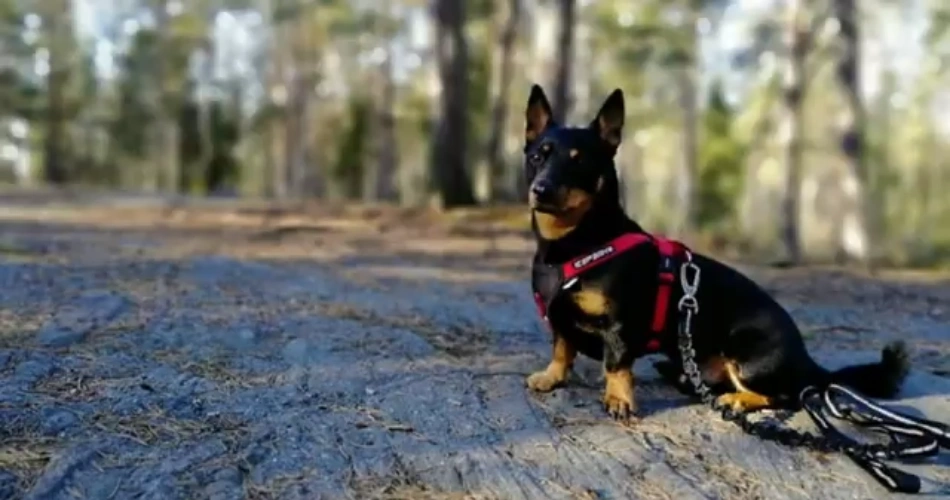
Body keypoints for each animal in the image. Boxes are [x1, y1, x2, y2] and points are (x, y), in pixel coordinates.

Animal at [524, 84, 912, 420]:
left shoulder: (619, 325)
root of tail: (807, 361)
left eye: (579, 161)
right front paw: (552, 377)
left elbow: (616, 365)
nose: (540, 189)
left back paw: (739, 400)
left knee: (785, 396)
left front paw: (618, 399)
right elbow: (562, 349)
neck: (576, 243)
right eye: (538, 156)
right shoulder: (561, 322)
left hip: (747, 355)